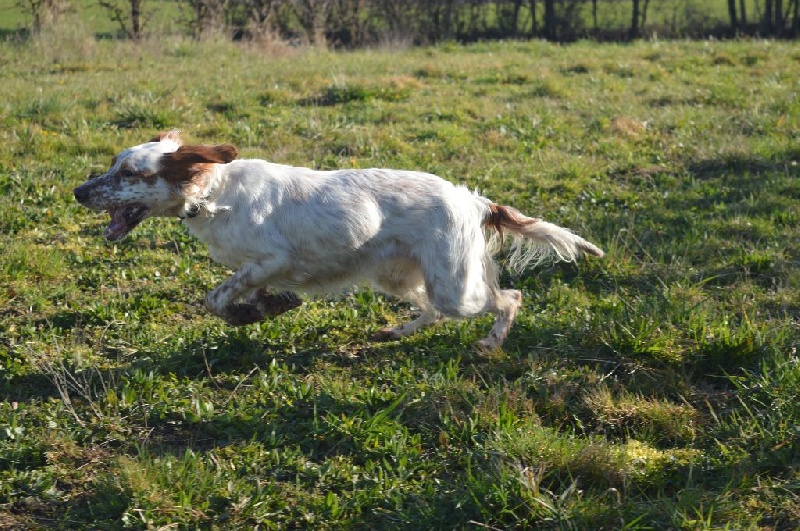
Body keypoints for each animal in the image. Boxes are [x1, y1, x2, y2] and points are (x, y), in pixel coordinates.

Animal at [75, 131, 604, 352]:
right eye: (113, 165)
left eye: (129, 173)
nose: (79, 191)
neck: (215, 195)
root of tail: (471, 200)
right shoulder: (260, 268)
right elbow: (240, 293)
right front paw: (269, 306)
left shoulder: (272, 259)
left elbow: (218, 297)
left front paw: (252, 312)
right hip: (399, 275)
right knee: (429, 309)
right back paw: (396, 332)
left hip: (455, 286)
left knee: (508, 297)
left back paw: (492, 343)